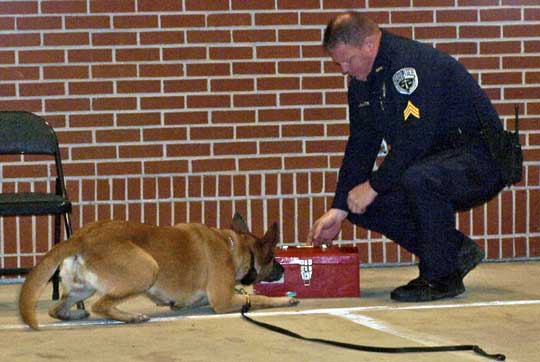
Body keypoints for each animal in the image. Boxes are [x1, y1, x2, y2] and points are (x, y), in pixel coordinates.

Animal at [19, 214, 298, 330]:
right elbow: (259, 298)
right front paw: (284, 300)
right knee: (101, 304)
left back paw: (75, 315)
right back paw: (131, 317)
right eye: (273, 257)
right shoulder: (224, 300)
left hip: (81, 289)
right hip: (147, 268)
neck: (232, 246)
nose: (283, 268)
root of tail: (81, 237)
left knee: (57, 309)